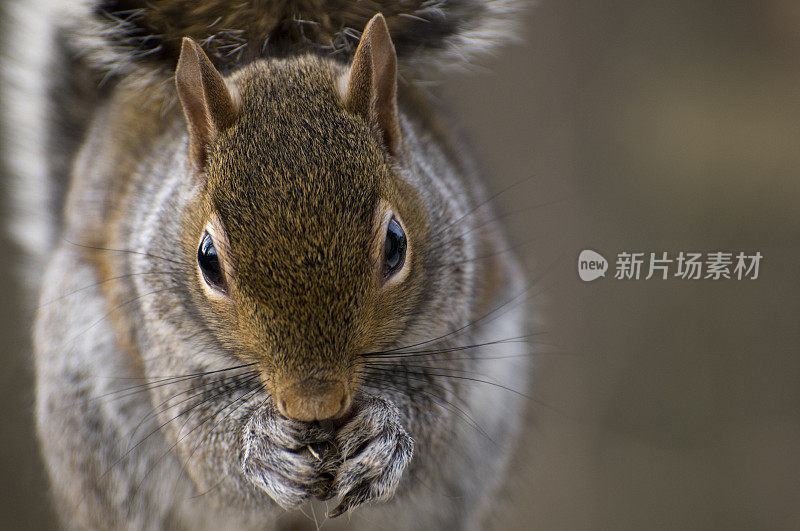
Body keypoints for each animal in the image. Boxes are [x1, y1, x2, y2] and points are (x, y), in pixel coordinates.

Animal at [3, 0, 532, 528]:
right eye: (208, 260)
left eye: (396, 245)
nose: (314, 403)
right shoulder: (162, 334)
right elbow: (203, 443)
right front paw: (261, 446)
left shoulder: (447, 318)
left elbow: (432, 413)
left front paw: (383, 437)